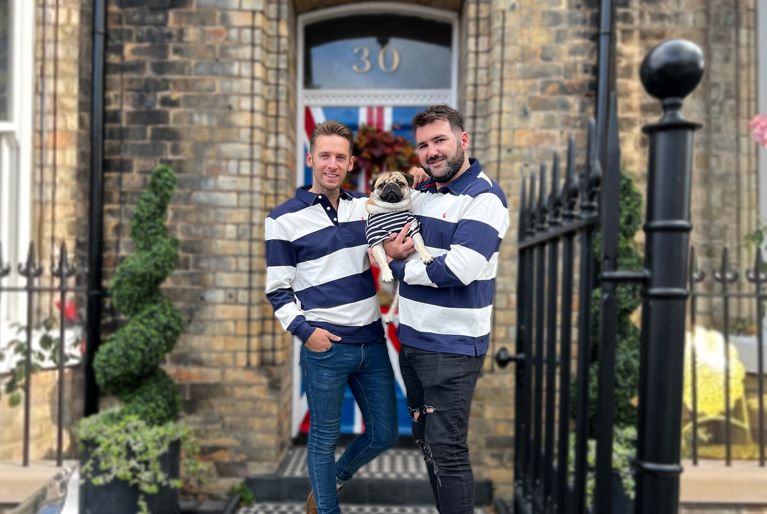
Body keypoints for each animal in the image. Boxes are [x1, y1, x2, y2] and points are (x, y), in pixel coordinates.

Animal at [366, 172, 432, 322]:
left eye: (400, 183)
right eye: (382, 185)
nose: (391, 185)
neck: (392, 210)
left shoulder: (413, 229)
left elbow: (420, 245)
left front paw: (426, 256)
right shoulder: (376, 240)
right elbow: (382, 260)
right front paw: (386, 273)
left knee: (397, 301)